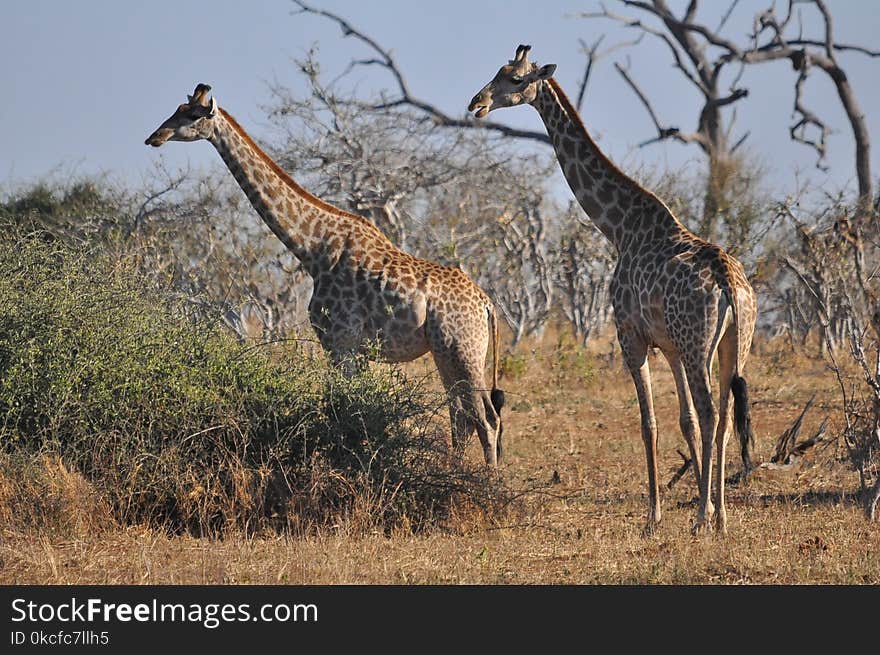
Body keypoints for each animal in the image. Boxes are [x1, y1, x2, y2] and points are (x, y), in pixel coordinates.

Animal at [147, 84, 506, 468]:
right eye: (177, 108)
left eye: (190, 115)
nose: (155, 137)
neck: (312, 249)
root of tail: (486, 304)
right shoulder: (353, 348)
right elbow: (354, 406)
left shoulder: (339, 342)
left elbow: (344, 407)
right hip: (446, 352)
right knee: (462, 416)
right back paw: (455, 470)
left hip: (463, 350)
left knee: (485, 418)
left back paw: (485, 479)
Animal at [470, 47, 760, 540]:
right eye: (496, 71)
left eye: (513, 78)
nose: (477, 104)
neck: (619, 228)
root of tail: (728, 281)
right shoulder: (669, 344)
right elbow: (684, 423)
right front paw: (690, 506)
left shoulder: (631, 336)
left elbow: (649, 423)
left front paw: (653, 517)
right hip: (732, 346)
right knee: (723, 417)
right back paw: (720, 517)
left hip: (700, 345)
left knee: (711, 413)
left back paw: (703, 518)